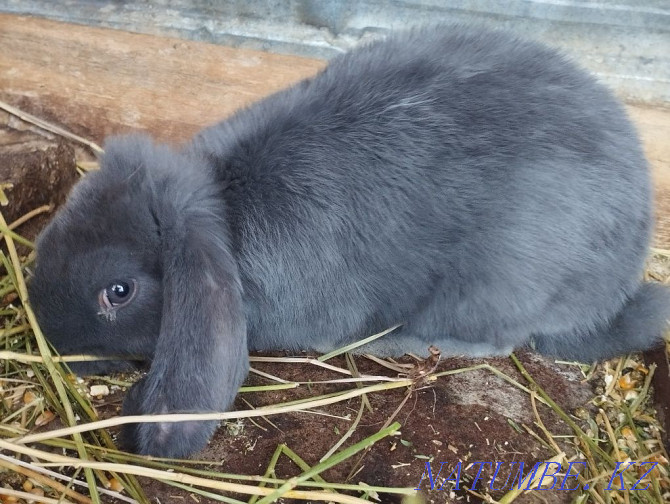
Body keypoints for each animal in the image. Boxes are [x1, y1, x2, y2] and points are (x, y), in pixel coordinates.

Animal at [28, 23, 668, 458]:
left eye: (119, 291)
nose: (50, 333)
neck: (226, 216)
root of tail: (617, 290)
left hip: (496, 286)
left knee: (499, 341)